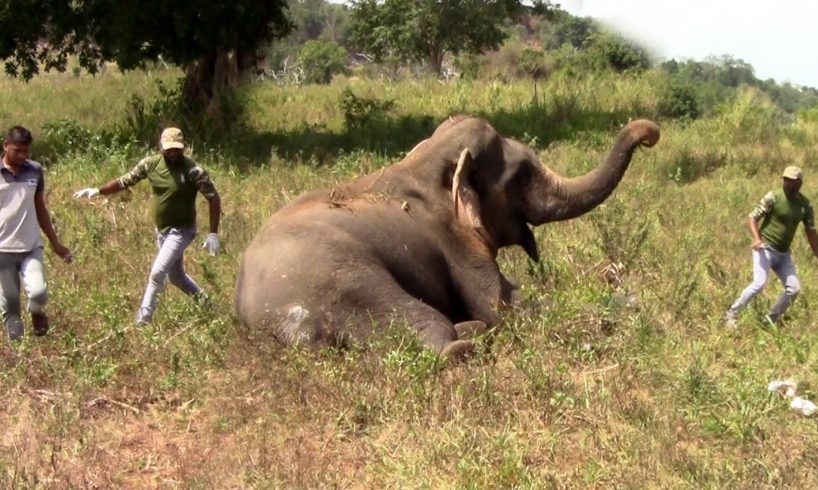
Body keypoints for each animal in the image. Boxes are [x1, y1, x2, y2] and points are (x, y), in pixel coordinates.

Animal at [234, 116, 656, 360]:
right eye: (522, 174)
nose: (650, 132)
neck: (421, 163)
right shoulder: (456, 246)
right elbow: (502, 307)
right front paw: (631, 303)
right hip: (344, 281)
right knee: (432, 330)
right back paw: (469, 336)